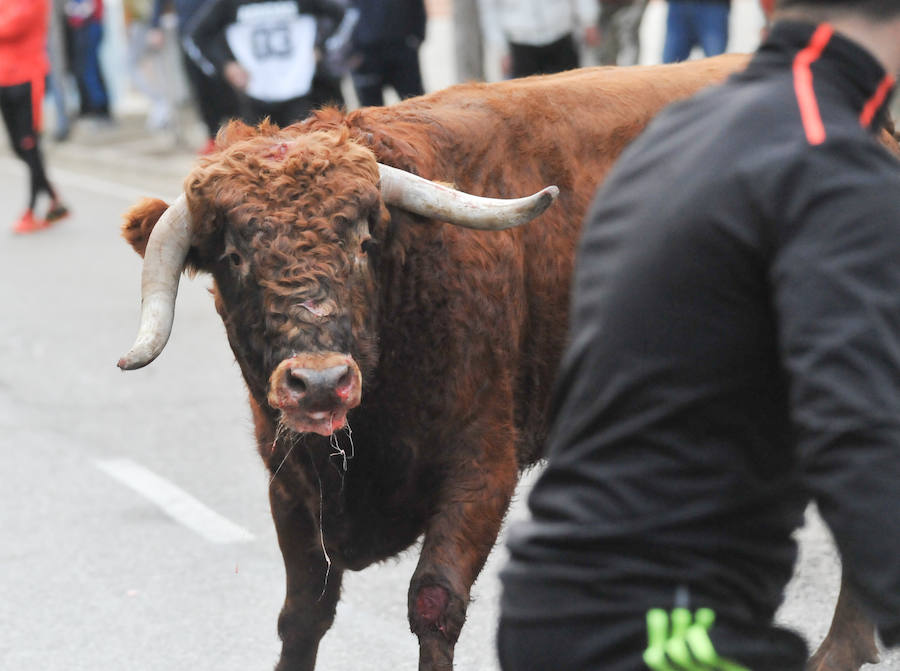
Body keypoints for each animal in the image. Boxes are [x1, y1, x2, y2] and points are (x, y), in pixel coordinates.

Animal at [116, 53, 884, 671]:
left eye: (363, 239)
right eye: (233, 253)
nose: (320, 383)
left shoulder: (482, 465)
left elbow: (433, 603)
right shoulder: (291, 481)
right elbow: (304, 614)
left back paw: (838, 651)